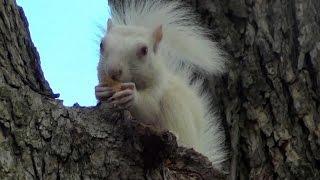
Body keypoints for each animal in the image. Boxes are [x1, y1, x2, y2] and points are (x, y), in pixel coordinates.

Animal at [95, 0, 228, 171]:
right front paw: (100, 91)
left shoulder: (158, 90)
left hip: (174, 107)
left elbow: (148, 107)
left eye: (144, 50)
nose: (112, 71)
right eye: (101, 45)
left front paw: (131, 96)